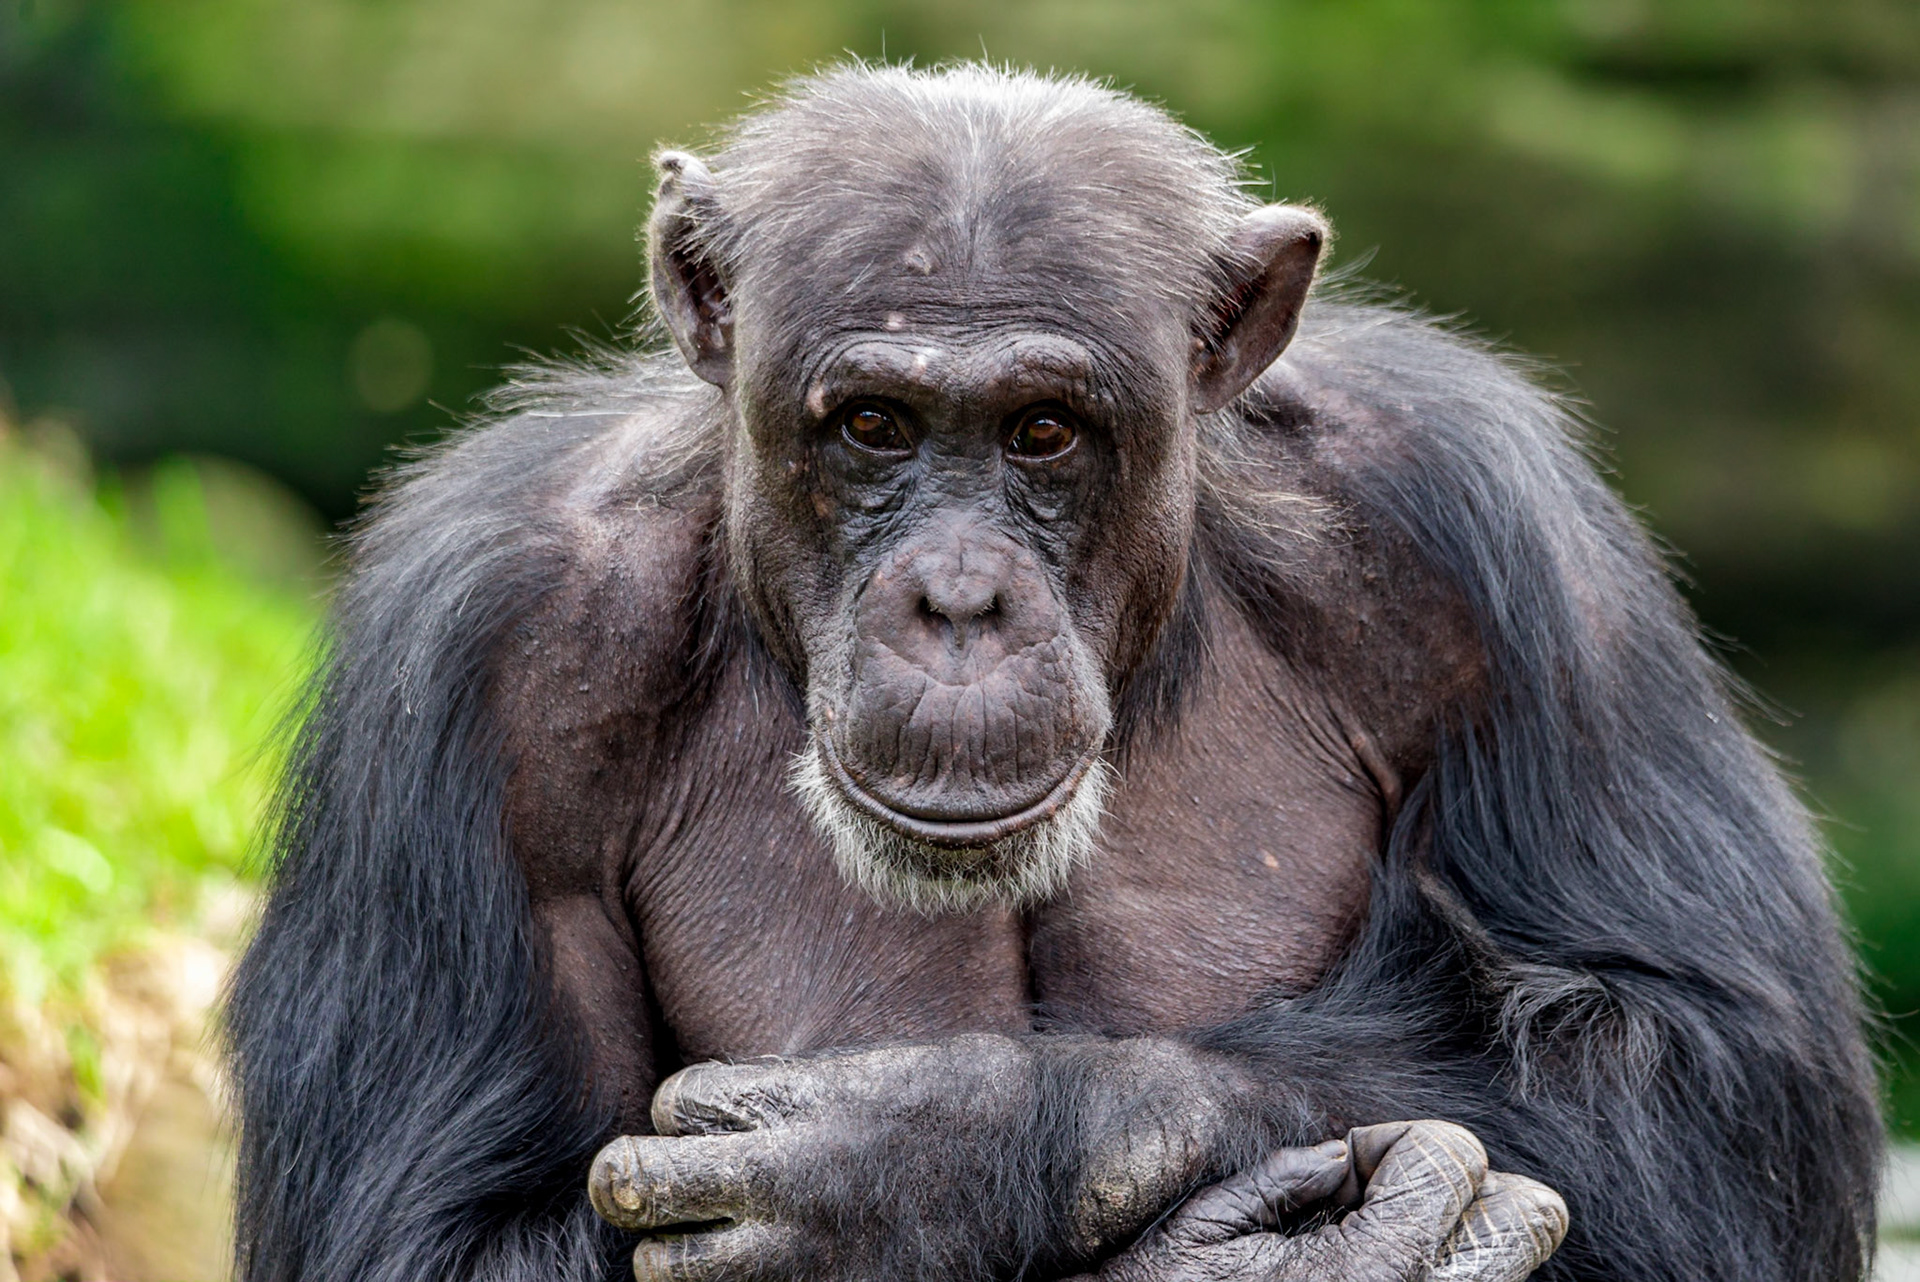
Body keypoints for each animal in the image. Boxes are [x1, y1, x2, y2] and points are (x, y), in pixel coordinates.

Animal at [227, 63, 1879, 1282]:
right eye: (875, 425)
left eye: (1042, 432)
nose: (959, 599)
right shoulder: (479, 645)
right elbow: (424, 1231)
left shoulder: (1493, 541)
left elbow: (1703, 1066)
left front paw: (941, 1156)